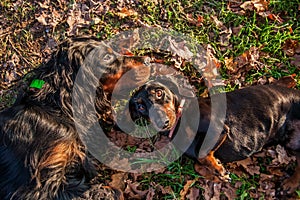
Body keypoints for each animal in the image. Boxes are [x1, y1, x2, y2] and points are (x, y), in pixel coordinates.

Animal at [129, 78, 300, 194]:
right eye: (140, 106)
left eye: (159, 93)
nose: (162, 122)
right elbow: (199, 161)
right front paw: (217, 168)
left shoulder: (218, 128)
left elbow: (201, 153)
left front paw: (219, 169)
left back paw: (289, 184)